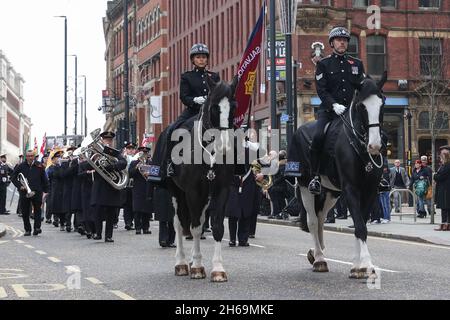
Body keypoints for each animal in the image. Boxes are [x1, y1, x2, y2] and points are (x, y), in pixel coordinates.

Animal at [160, 77, 239, 282]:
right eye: (213, 108)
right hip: (177, 192)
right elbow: (194, 228)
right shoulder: (193, 191)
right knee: (179, 224)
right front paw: (196, 266)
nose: (224, 147)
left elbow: (217, 226)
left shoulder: (221, 189)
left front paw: (218, 268)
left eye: (234, 107)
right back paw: (181, 263)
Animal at [288, 72, 386, 278]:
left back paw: (317, 253)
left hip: (331, 193)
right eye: (361, 106)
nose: (374, 146)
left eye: (382, 103)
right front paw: (366, 264)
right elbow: (360, 226)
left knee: (321, 220)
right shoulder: (350, 189)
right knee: (312, 221)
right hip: (305, 186)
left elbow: (360, 223)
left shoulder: (370, 190)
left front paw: (357, 266)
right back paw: (319, 259)